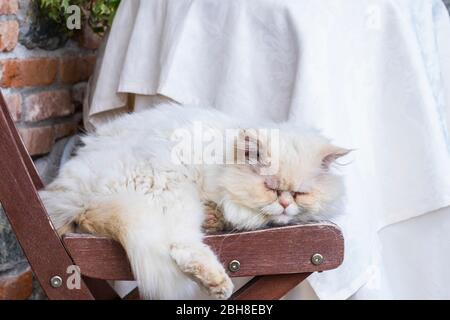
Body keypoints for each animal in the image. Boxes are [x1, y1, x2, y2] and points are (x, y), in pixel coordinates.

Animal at [38, 103, 350, 300]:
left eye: (299, 194)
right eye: (271, 188)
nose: (285, 205)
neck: (220, 162)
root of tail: (78, 201)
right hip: (173, 191)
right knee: (181, 246)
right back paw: (217, 283)